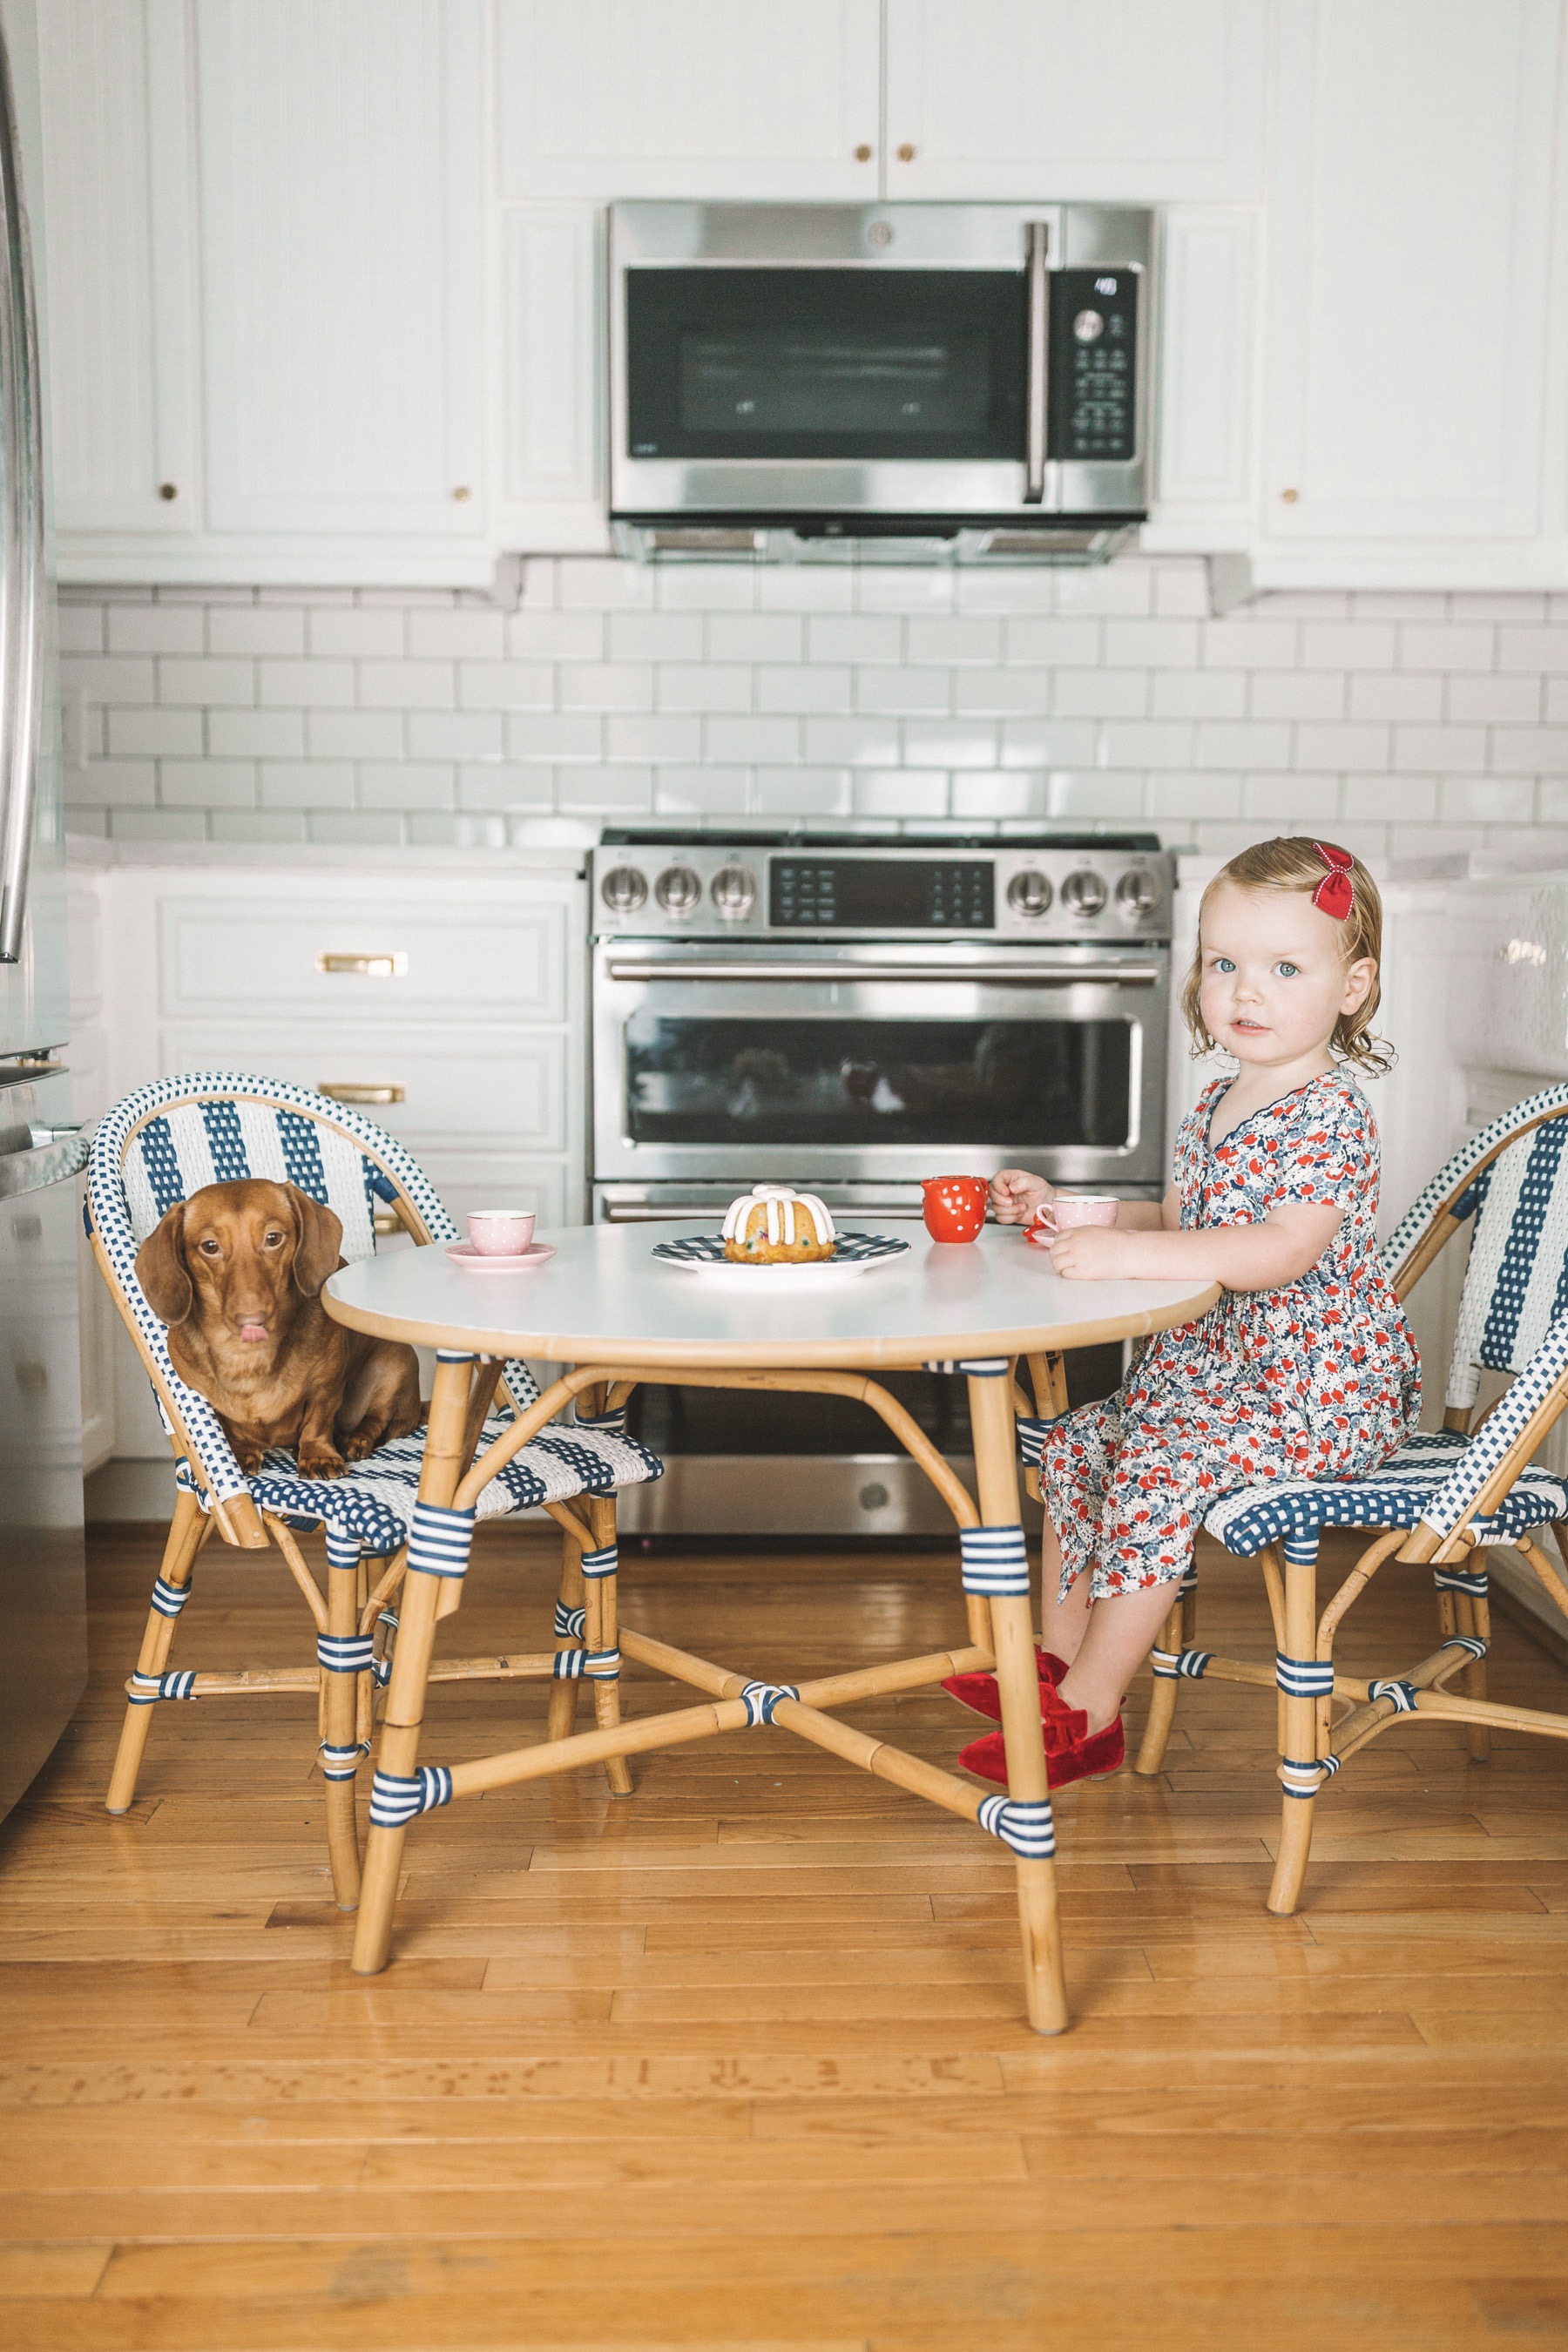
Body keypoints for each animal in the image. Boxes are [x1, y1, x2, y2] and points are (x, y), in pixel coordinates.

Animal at [139, 1185, 421, 1477]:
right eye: (210, 1246)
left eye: (273, 1238)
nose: (252, 1319)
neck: (247, 1360)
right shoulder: (200, 1393)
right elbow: (228, 1426)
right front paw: (240, 1452)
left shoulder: (326, 1386)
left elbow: (318, 1421)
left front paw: (318, 1455)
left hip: (395, 1364)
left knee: (377, 1420)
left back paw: (355, 1440)